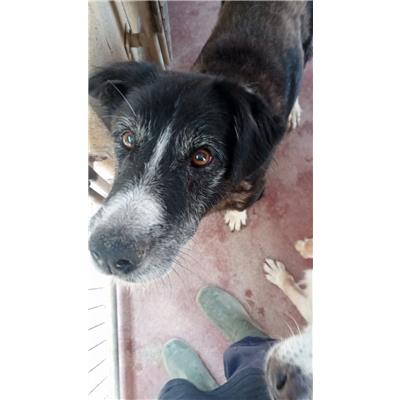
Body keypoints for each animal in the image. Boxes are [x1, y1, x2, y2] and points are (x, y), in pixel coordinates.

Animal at [88, 2, 313, 282]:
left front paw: (236, 215)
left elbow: (243, 203)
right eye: (128, 138)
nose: (107, 255)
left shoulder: (255, 185)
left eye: (201, 156)